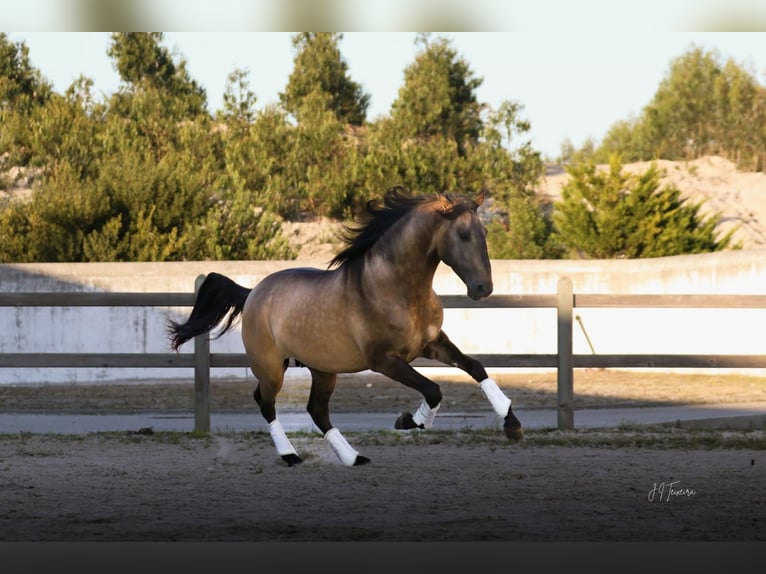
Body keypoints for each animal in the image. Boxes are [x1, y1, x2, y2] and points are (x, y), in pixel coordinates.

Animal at [168, 188, 524, 468]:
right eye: (463, 234)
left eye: (484, 233)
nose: (483, 288)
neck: (396, 288)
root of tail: (252, 292)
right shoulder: (384, 360)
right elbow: (433, 389)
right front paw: (410, 421)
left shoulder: (432, 344)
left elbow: (476, 367)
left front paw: (513, 425)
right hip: (271, 368)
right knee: (266, 402)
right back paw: (291, 455)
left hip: (323, 369)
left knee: (316, 410)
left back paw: (353, 457)